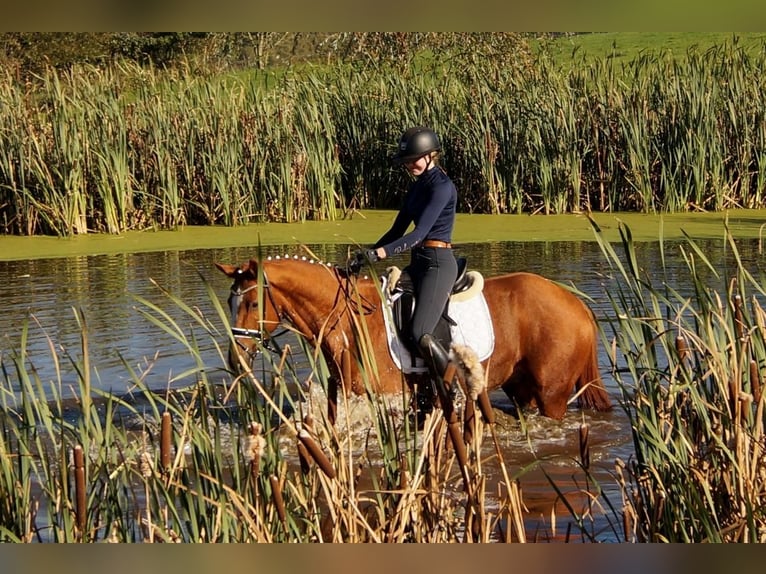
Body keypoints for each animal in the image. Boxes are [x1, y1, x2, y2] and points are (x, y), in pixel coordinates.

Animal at [216, 255, 612, 424]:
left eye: (253, 302)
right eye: (230, 302)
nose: (236, 359)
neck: (350, 320)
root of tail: (577, 304)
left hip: (552, 396)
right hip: (522, 389)